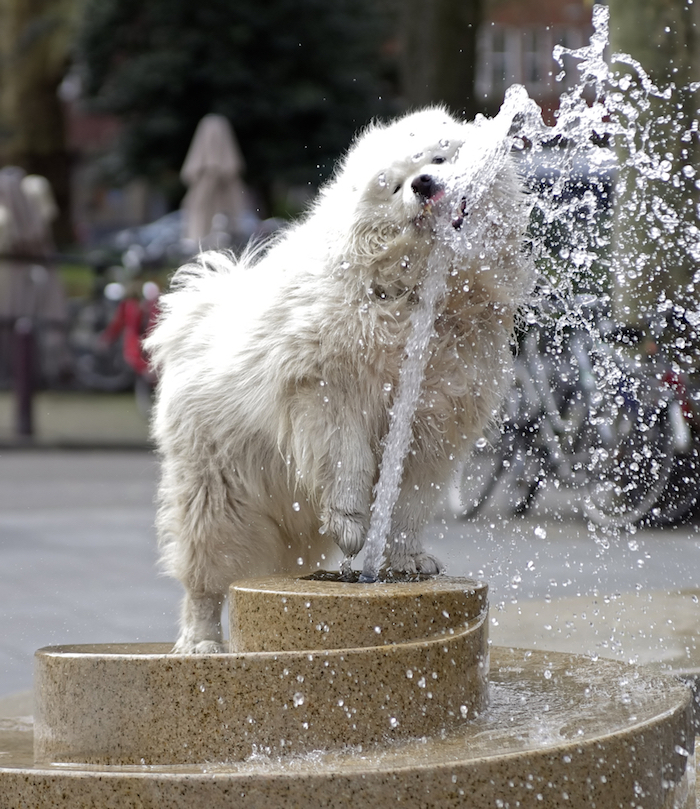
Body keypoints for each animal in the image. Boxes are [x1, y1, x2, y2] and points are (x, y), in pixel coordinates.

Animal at [146, 107, 532, 652]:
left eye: (439, 158)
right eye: (394, 185)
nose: (424, 184)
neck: (412, 293)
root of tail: (199, 309)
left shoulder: (436, 419)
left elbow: (411, 500)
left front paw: (405, 559)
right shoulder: (328, 392)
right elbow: (346, 465)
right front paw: (351, 527)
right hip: (217, 495)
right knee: (205, 580)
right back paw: (201, 643)